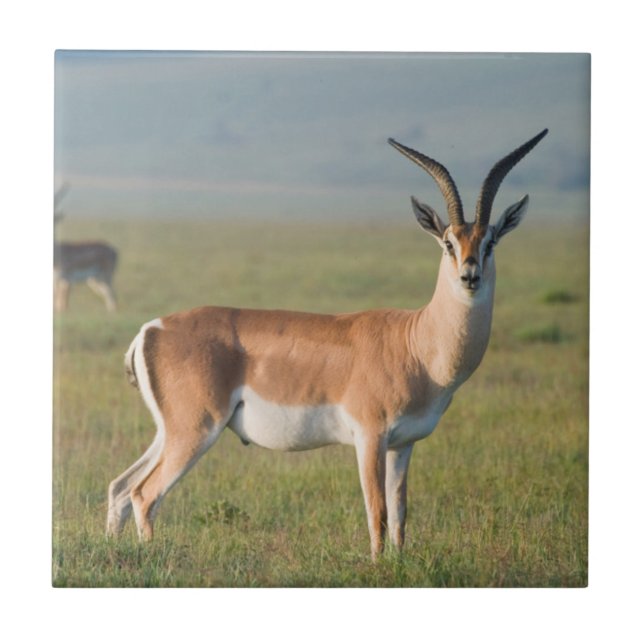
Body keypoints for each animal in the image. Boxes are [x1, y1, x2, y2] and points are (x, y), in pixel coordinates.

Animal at [106, 129, 548, 559]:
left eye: (490, 241)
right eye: (448, 242)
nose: (469, 276)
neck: (417, 344)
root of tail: (152, 329)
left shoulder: (403, 445)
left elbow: (400, 514)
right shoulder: (370, 436)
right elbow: (377, 512)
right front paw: (378, 567)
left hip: (169, 431)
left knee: (120, 487)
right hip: (196, 429)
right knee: (145, 494)